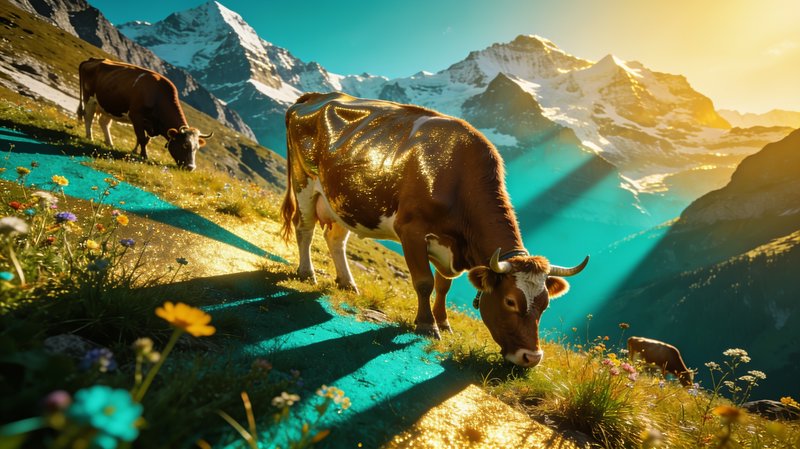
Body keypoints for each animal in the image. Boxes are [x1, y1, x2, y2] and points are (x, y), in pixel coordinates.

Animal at [77, 58, 212, 171]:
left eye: (197, 148)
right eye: (185, 145)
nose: (191, 167)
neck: (157, 96)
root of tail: (93, 59)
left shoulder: (149, 124)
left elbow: (145, 139)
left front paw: (135, 151)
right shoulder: (136, 116)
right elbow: (142, 138)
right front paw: (143, 156)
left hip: (109, 106)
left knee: (104, 123)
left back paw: (110, 143)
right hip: (89, 99)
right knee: (88, 117)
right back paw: (89, 137)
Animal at [280, 92, 589, 368]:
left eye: (545, 305)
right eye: (510, 301)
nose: (531, 358)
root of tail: (315, 96)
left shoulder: (450, 247)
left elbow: (444, 286)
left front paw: (444, 322)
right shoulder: (412, 231)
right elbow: (424, 282)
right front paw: (427, 325)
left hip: (343, 202)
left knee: (335, 239)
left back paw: (347, 283)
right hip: (304, 182)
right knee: (304, 229)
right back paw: (307, 273)